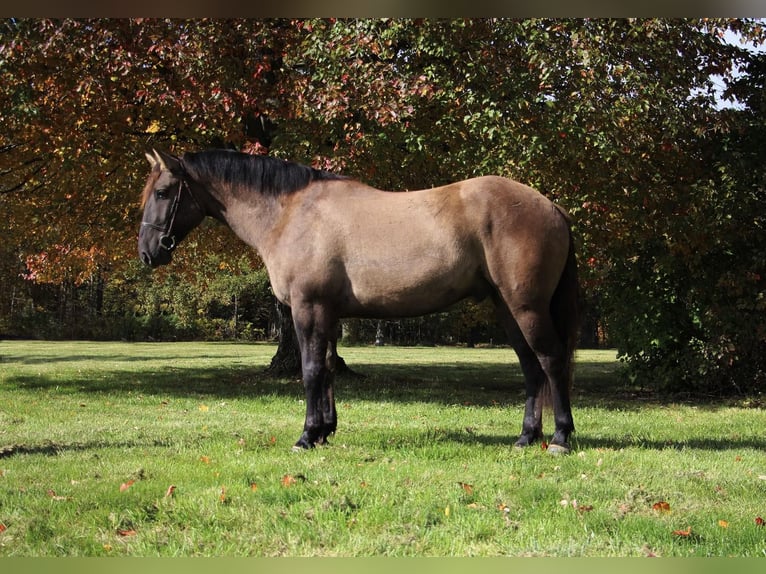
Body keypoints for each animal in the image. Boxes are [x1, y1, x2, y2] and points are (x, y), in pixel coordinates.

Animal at [138, 151, 584, 456]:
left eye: (162, 192)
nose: (147, 253)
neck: (289, 213)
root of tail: (552, 206)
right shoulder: (328, 314)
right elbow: (328, 370)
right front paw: (324, 431)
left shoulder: (309, 308)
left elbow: (312, 371)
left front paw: (306, 436)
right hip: (507, 308)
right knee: (531, 368)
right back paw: (526, 436)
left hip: (526, 307)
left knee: (551, 361)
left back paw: (560, 438)